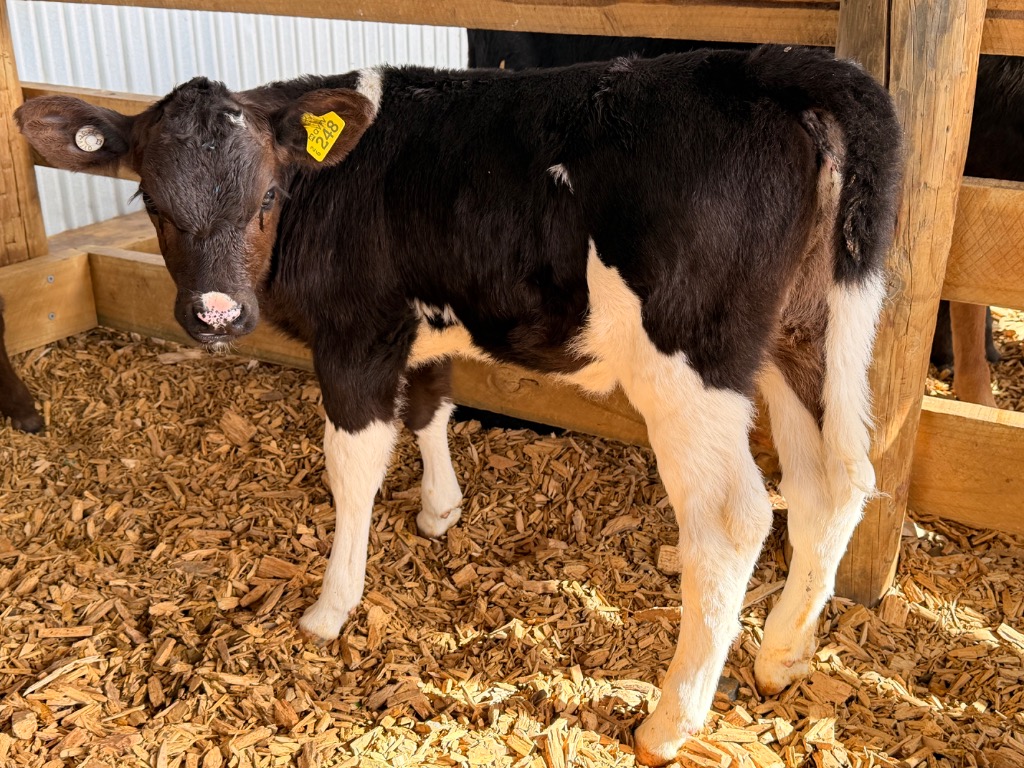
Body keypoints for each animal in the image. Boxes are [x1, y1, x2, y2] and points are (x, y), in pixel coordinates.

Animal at [16, 45, 903, 765]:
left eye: (267, 195)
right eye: (152, 202)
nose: (215, 314)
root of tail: (763, 64)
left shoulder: (355, 333)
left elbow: (353, 466)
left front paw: (331, 608)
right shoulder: (422, 322)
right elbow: (431, 409)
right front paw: (441, 510)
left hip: (693, 354)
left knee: (733, 518)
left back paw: (667, 725)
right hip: (803, 332)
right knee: (835, 480)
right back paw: (783, 656)